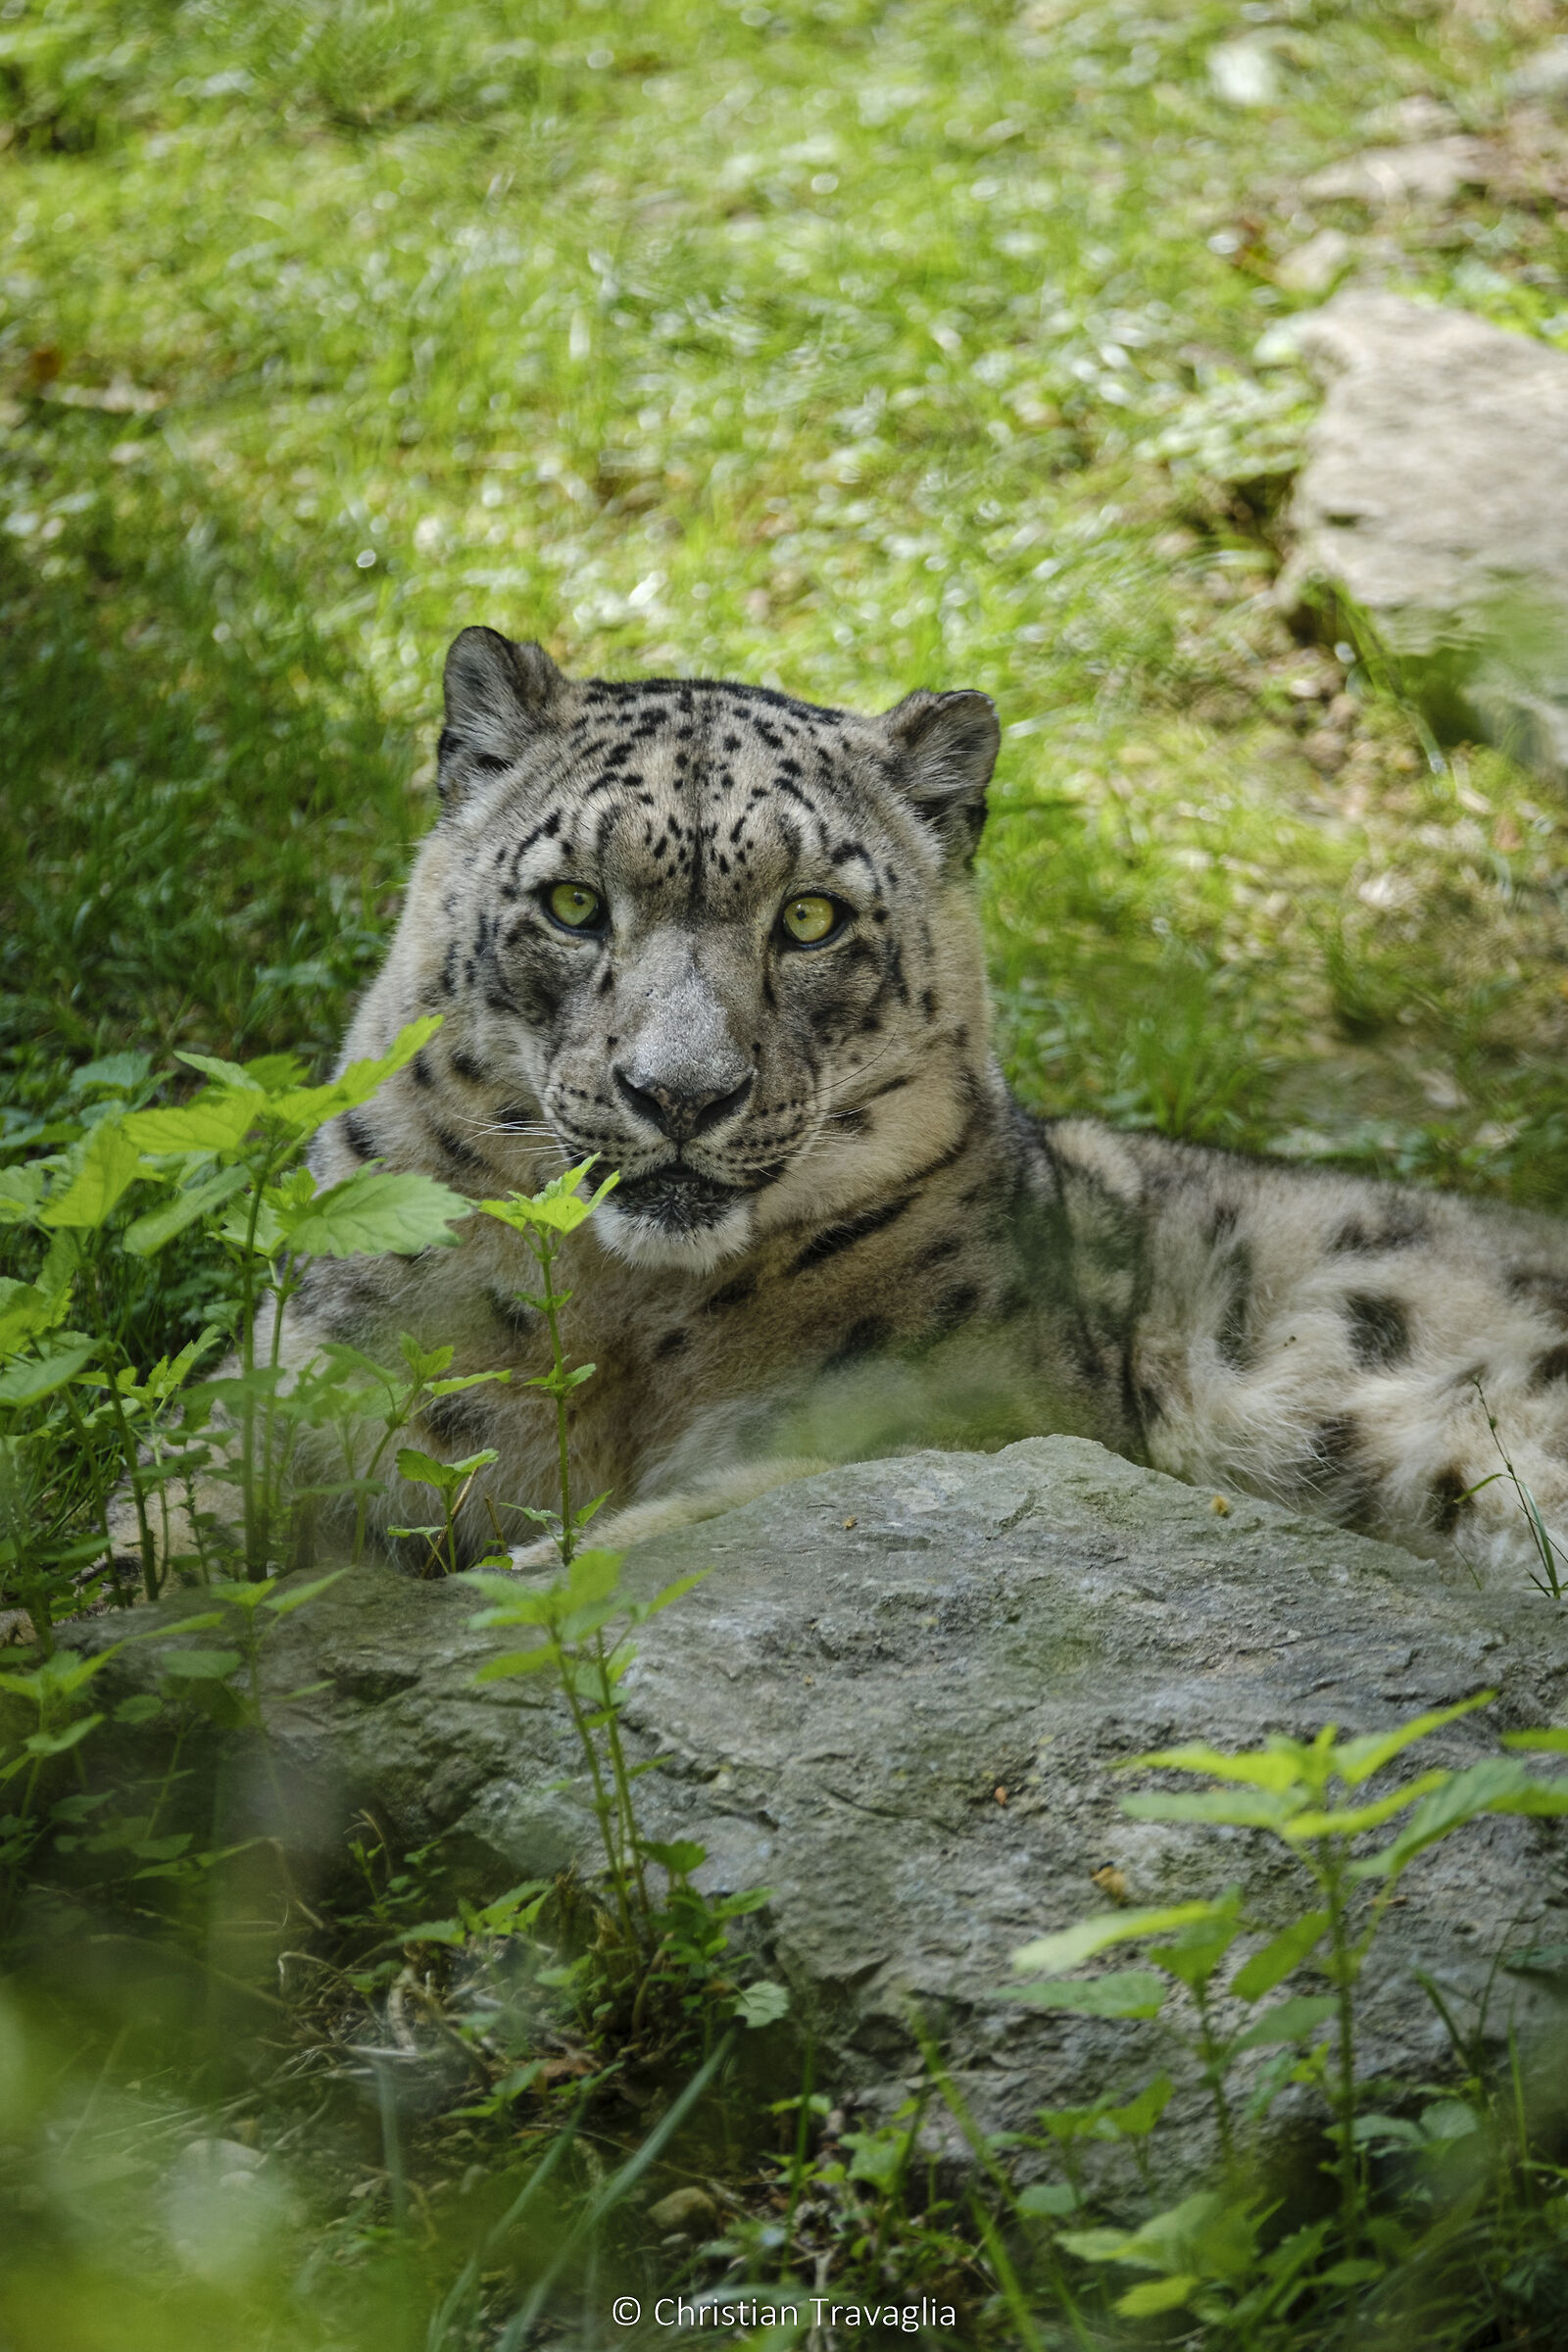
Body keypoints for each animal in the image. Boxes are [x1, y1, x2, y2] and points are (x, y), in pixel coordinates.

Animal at [283, 624, 1568, 1585]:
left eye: (810, 917)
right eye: (572, 902)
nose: (681, 1092)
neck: (621, 1316)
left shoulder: (959, 1418)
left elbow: (688, 1517)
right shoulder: (325, 1390)